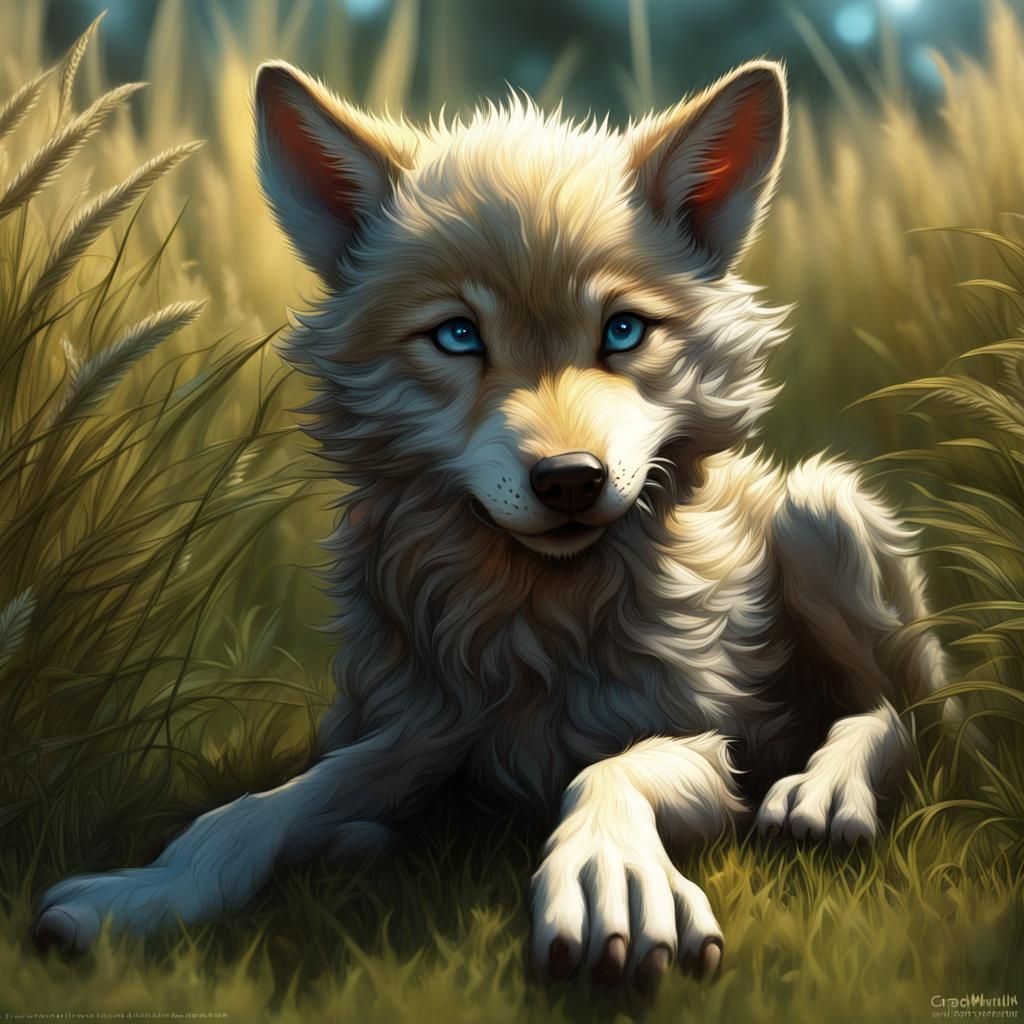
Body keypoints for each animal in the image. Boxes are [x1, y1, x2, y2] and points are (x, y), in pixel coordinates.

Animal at [34, 58, 951, 992]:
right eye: (458, 335)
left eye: (623, 331)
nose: (572, 480)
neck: (538, 619)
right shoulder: (428, 727)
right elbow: (259, 808)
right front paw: (144, 894)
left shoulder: (708, 740)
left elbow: (611, 770)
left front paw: (608, 883)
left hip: (817, 514)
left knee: (904, 714)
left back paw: (821, 794)